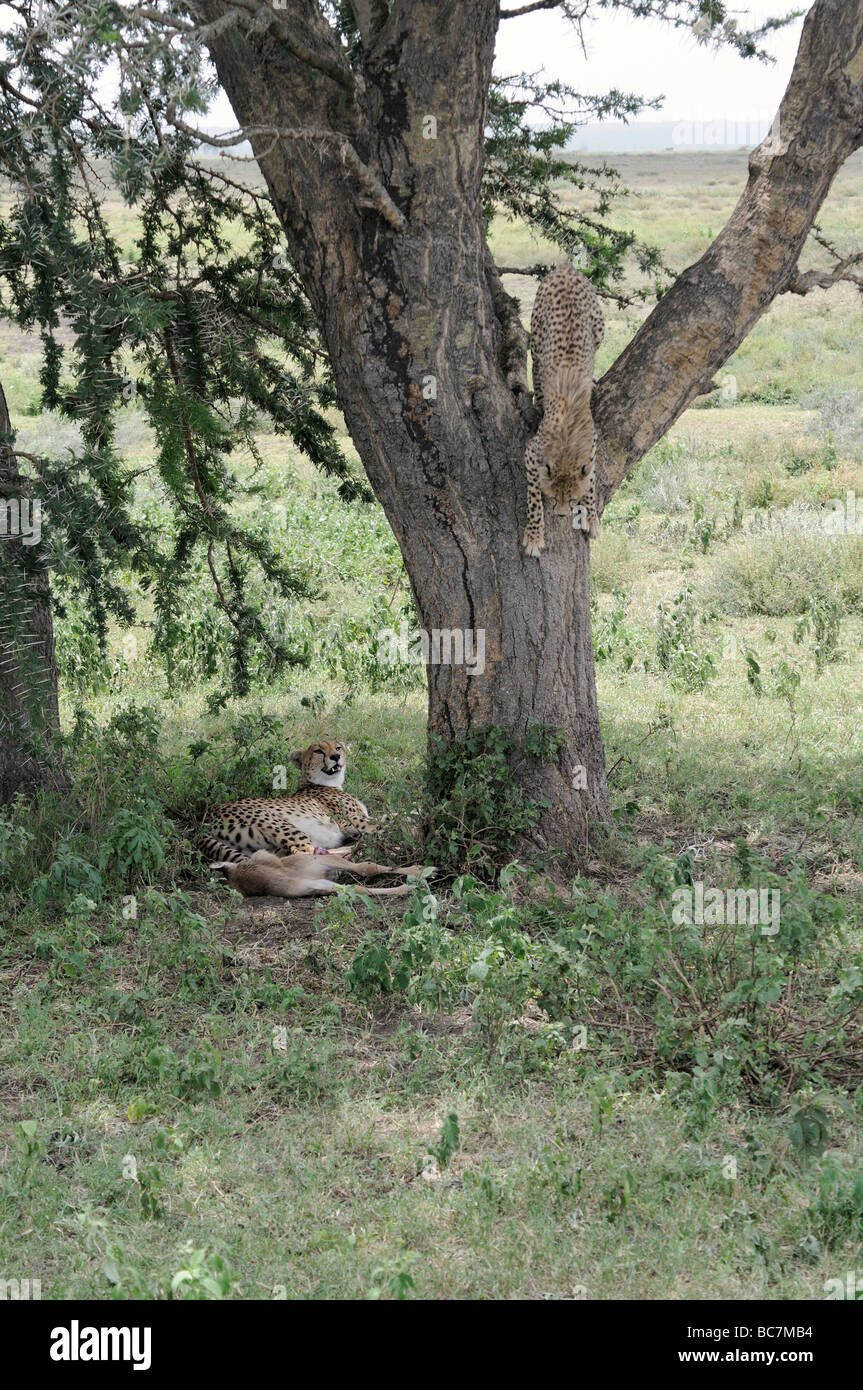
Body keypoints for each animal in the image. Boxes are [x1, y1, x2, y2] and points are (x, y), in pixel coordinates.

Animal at [200, 739, 430, 900]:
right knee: (308, 851)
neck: (324, 782)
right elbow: (393, 823)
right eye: (319, 751)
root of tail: (207, 817)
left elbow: (395, 816)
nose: (336, 756)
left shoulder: (364, 817)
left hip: (262, 848)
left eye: (338, 747)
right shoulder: (354, 823)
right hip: (284, 825)